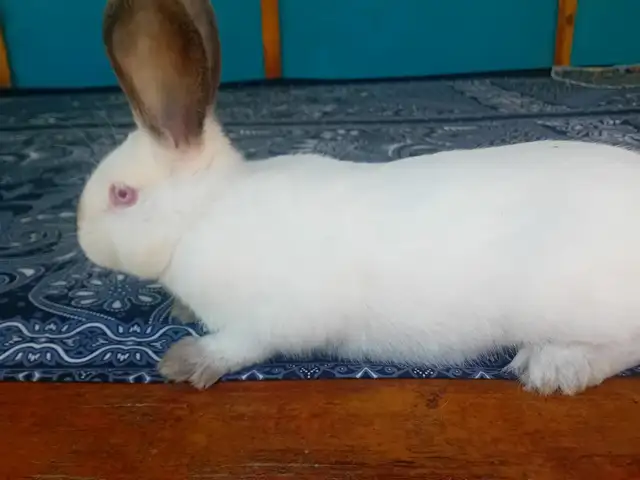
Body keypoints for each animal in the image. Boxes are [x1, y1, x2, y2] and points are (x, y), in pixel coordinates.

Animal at [77, 0, 640, 396]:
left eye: (122, 195)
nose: (81, 241)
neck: (202, 216)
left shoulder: (272, 319)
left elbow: (241, 345)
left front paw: (184, 361)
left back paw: (552, 367)